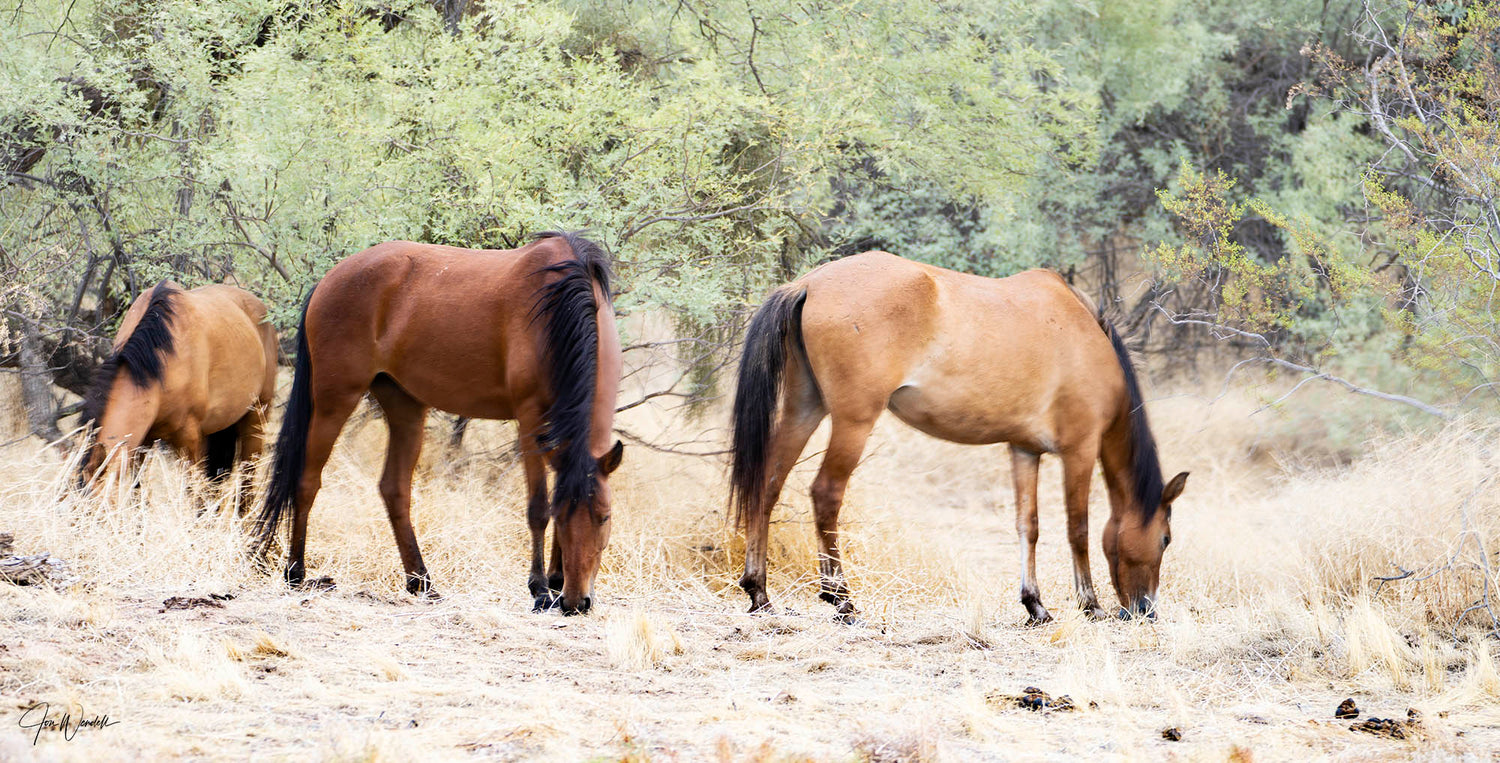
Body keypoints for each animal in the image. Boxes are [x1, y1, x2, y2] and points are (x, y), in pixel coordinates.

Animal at [79, 280, 279, 506]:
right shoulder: (143, 443)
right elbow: (139, 491)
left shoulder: (189, 440)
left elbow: (194, 493)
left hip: (255, 419)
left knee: (247, 484)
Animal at [252, 232, 621, 611]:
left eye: (605, 517)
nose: (577, 602)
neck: (559, 305)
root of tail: (328, 280)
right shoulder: (530, 419)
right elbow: (538, 508)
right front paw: (541, 589)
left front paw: (555, 580)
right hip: (334, 400)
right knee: (307, 480)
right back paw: (296, 572)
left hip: (406, 406)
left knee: (395, 489)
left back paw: (420, 581)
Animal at [732, 253, 1188, 620]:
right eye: (1165, 538)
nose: (1146, 610)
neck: (1086, 337)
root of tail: (808, 283)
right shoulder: (1079, 450)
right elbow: (1078, 527)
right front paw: (1089, 604)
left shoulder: (1024, 451)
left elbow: (1028, 526)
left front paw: (1035, 605)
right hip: (853, 421)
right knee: (825, 494)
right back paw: (841, 599)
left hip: (804, 409)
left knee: (767, 484)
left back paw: (759, 592)